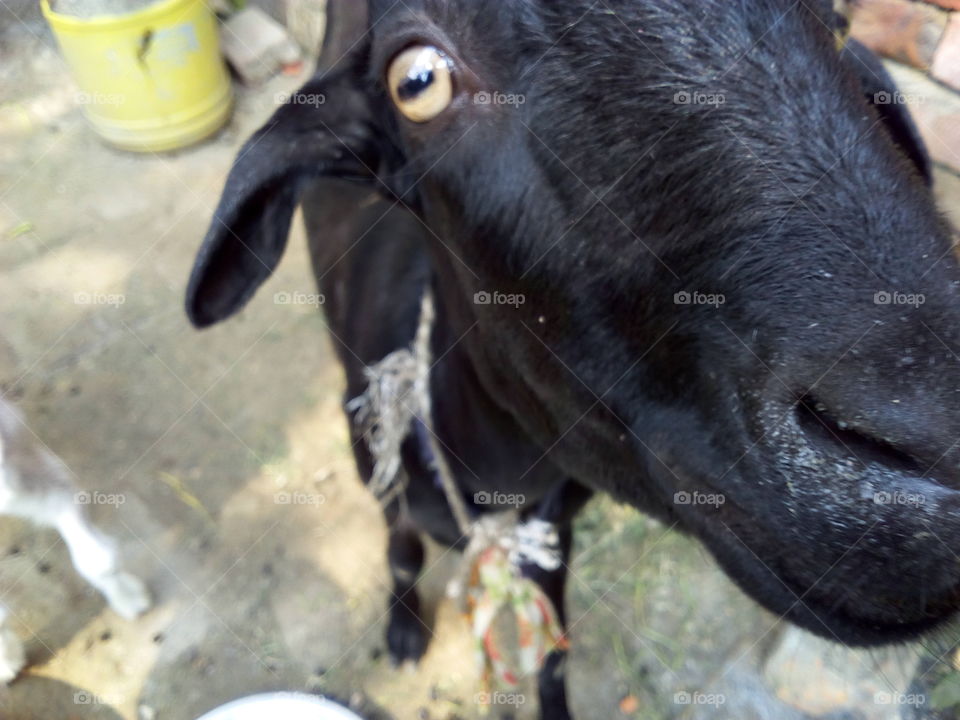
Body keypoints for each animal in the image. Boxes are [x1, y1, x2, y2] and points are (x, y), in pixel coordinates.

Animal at [186, 1, 955, 717]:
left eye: (839, 20)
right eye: (416, 82)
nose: (938, 450)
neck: (498, 471)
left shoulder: (553, 531)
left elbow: (553, 652)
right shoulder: (381, 465)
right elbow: (399, 546)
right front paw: (404, 628)